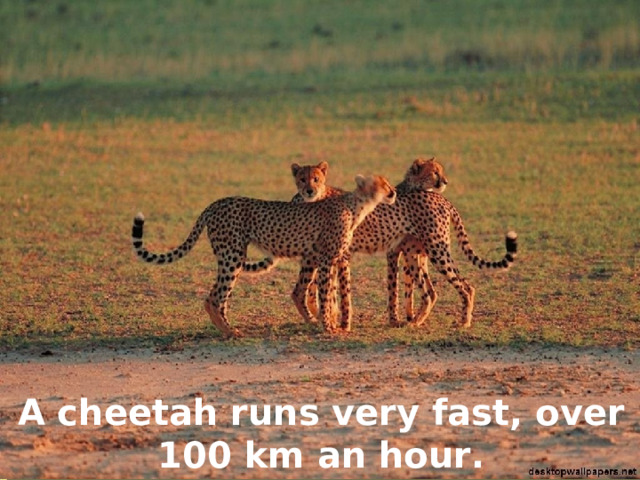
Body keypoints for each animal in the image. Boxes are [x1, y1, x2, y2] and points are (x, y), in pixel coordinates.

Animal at [131, 174, 396, 338]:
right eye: (383, 183)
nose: (393, 192)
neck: (357, 205)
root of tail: (215, 203)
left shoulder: (331, 258)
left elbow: (331, 295)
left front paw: (332, 324)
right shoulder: (326, 259)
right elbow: (326, 296)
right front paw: (329, 327)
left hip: (232, 257)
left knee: (219, 297)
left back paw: (227, 329)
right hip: (232, 255)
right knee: (214, 297)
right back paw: (230, 332)